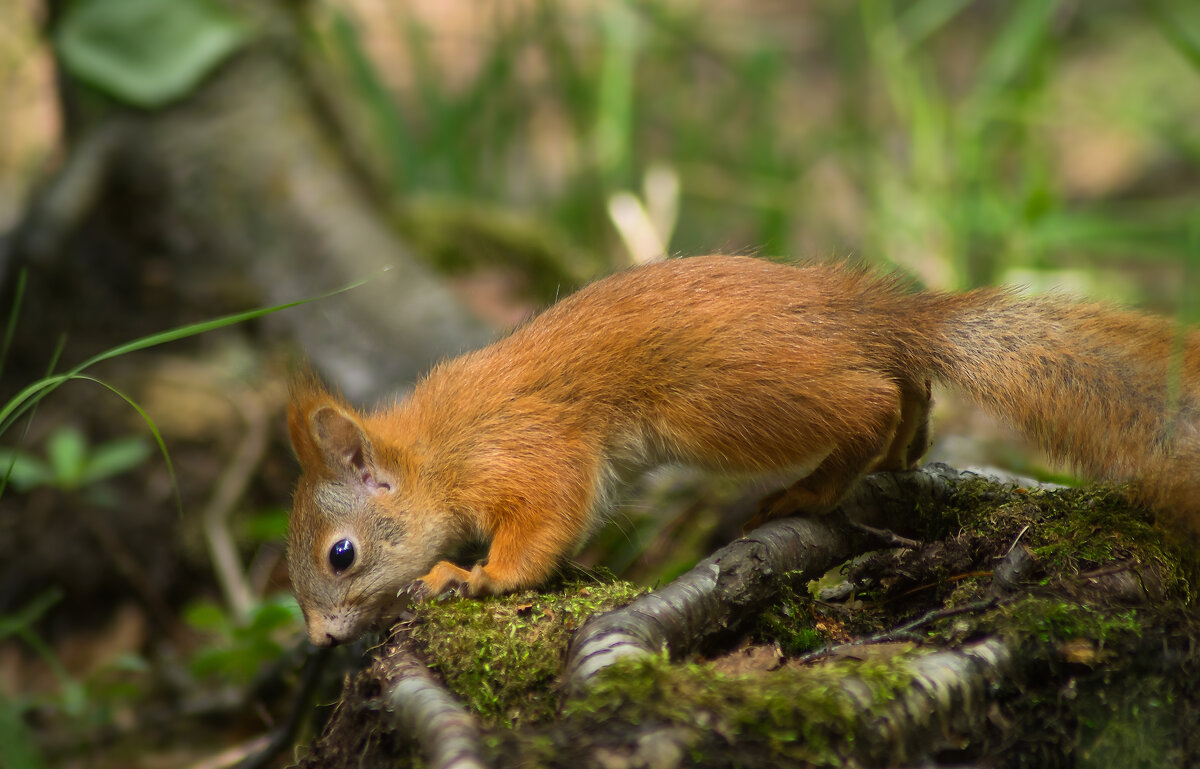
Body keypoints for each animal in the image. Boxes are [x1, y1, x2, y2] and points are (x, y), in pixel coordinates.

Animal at [288, 254, 1200, 643]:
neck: (435, 456)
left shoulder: (525, 454)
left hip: (724, 403)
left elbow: (543, 523)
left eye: (341, 554)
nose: (324, 641)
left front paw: (473, 577)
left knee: (869, 397)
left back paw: (815, 487)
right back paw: (903, 447)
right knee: (905, 379)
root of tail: (871, 317)